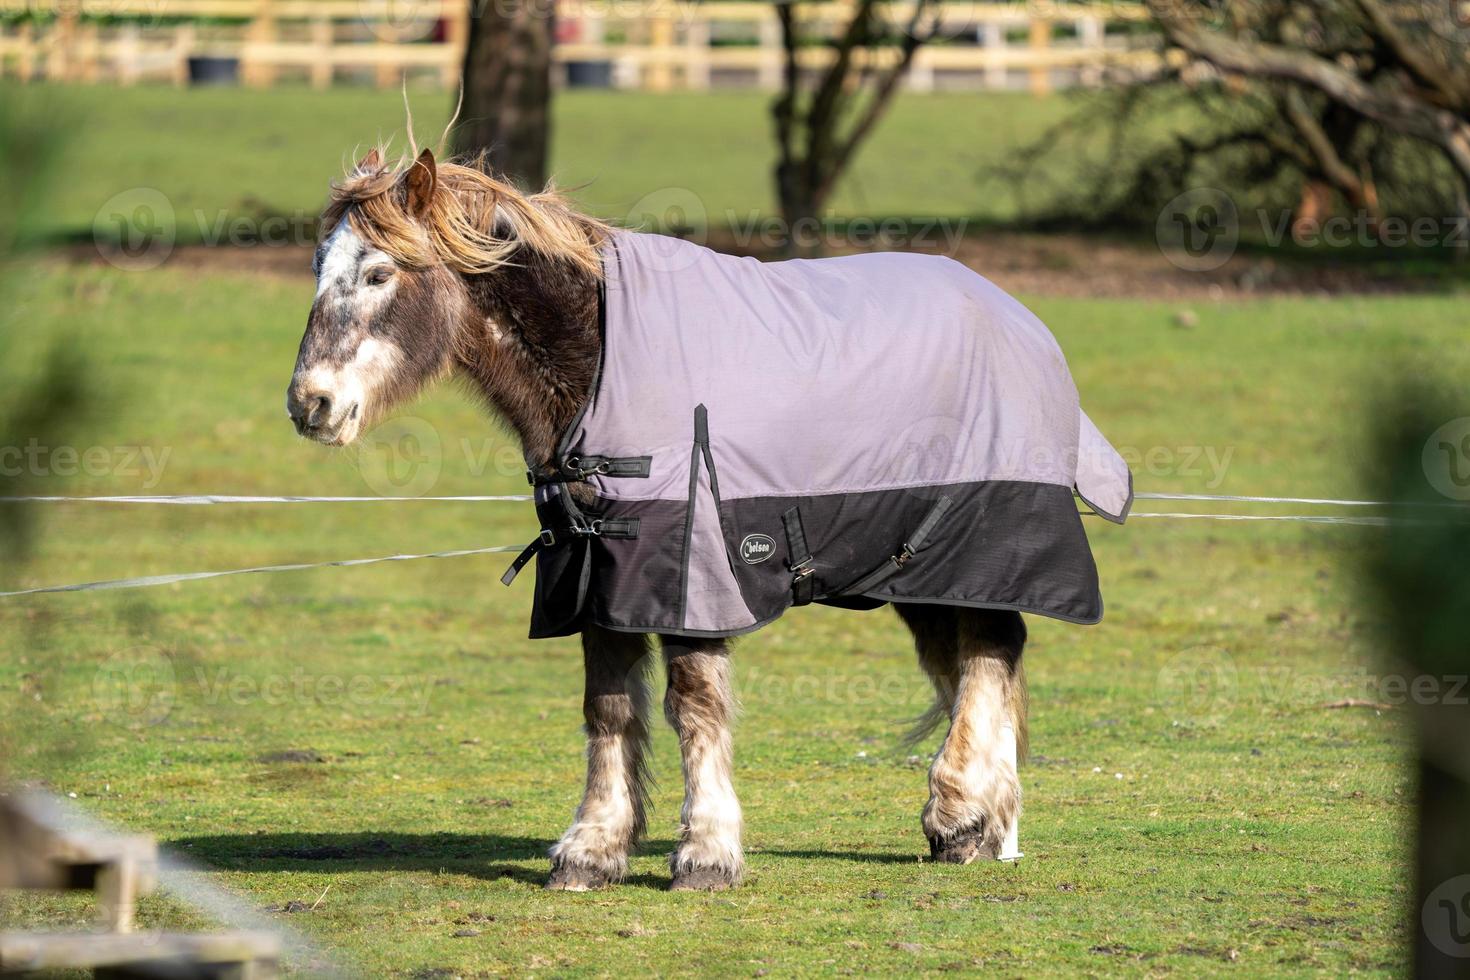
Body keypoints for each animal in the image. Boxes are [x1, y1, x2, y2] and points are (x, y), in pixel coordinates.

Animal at [289, 147, 1093, 899]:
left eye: (379, 274)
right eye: (320, 267)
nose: (309, 405)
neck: (605, 368)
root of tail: (1017, 317)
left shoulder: (690, 575)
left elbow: (695, 704)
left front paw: (706, 853)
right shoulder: (598, 576)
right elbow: (609, 708)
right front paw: (592, 849)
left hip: (971, 546)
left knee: (988, 651)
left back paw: (959, 815)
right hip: (910, 568)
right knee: (972, 659)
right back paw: (992, 824)